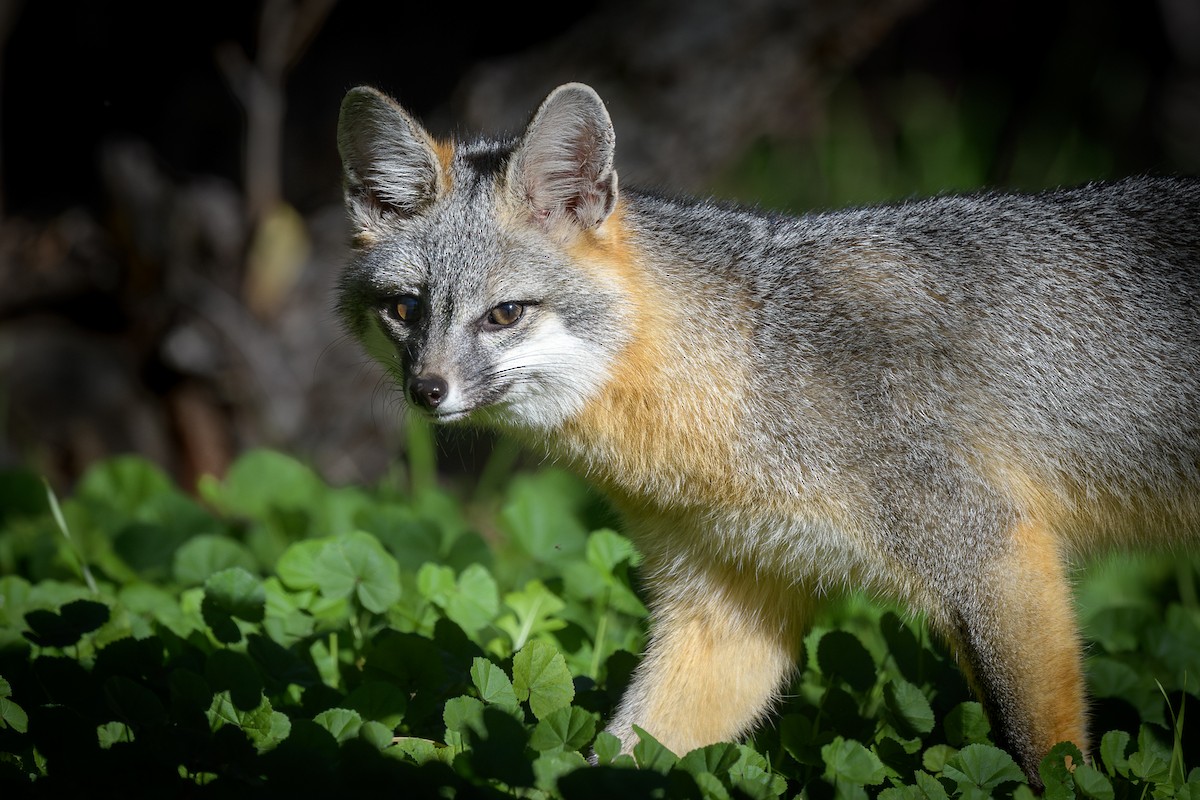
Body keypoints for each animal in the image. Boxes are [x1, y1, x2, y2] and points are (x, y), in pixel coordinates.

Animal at [333, 80, 1200, 786]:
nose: (426, 390)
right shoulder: (726, 609)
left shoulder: (992, 555)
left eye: (505, 314)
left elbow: (1044, 755)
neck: (742, 379)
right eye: (405, 309)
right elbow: (623, 754)